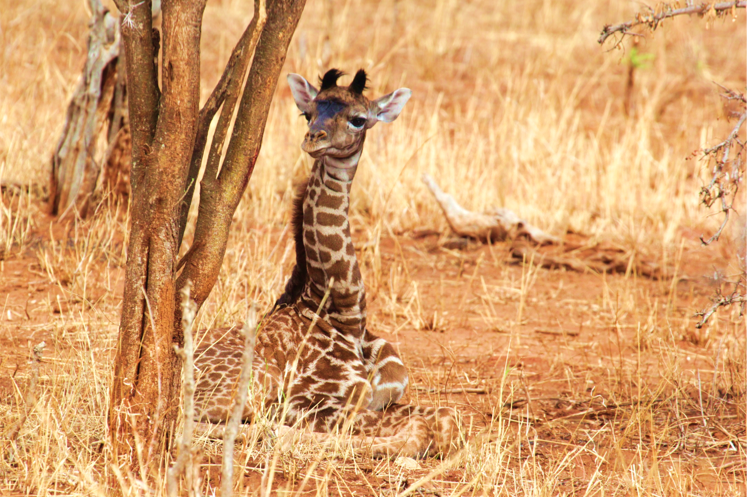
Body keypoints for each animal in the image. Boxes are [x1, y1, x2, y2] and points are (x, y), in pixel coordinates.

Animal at [193, 70, 458, 458]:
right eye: (308, 113)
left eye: (358, 119)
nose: (313, 139)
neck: (344, 315)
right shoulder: (305, 399)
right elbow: (421, 428)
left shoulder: (384, 393)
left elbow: (444, 417)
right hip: (254, 382)